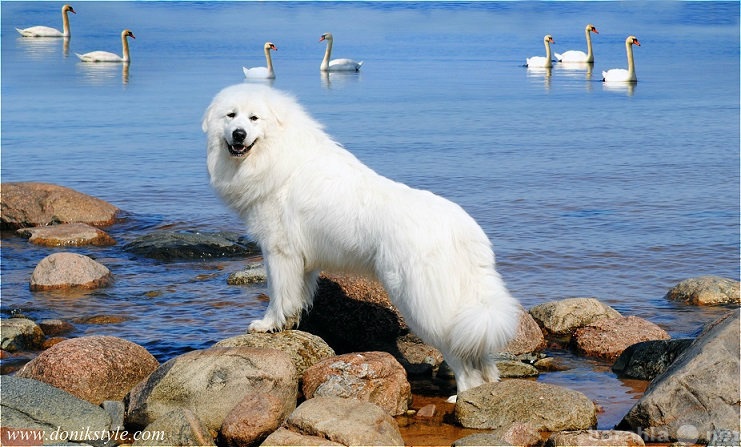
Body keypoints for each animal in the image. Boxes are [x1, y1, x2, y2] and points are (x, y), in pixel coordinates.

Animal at [199, 84, 516, 396]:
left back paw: (461, 395)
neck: (278, 153)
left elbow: (278, 295)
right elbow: (297, 297)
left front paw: (267, 325)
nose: (238, 134)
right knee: (481, 355)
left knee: (462, 360)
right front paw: (290, 322)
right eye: (231, 116)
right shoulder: (302, 261)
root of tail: (463, 230)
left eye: (254, 118)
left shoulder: (279, 251)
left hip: (422, 305)